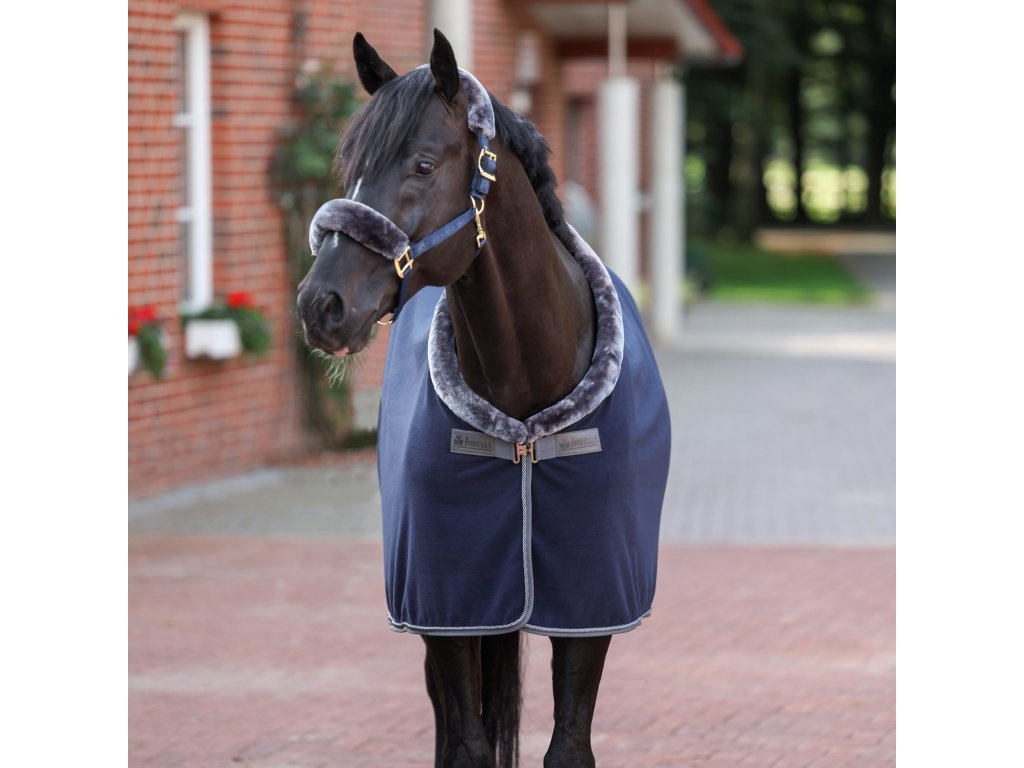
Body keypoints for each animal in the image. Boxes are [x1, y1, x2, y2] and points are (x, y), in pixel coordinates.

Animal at [297, 29, 671, 767]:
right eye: (352, 168)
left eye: (422, 163)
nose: (320, 304)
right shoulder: (445, 606)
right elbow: (465, 744)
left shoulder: (591, 610)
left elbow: (568, 746)